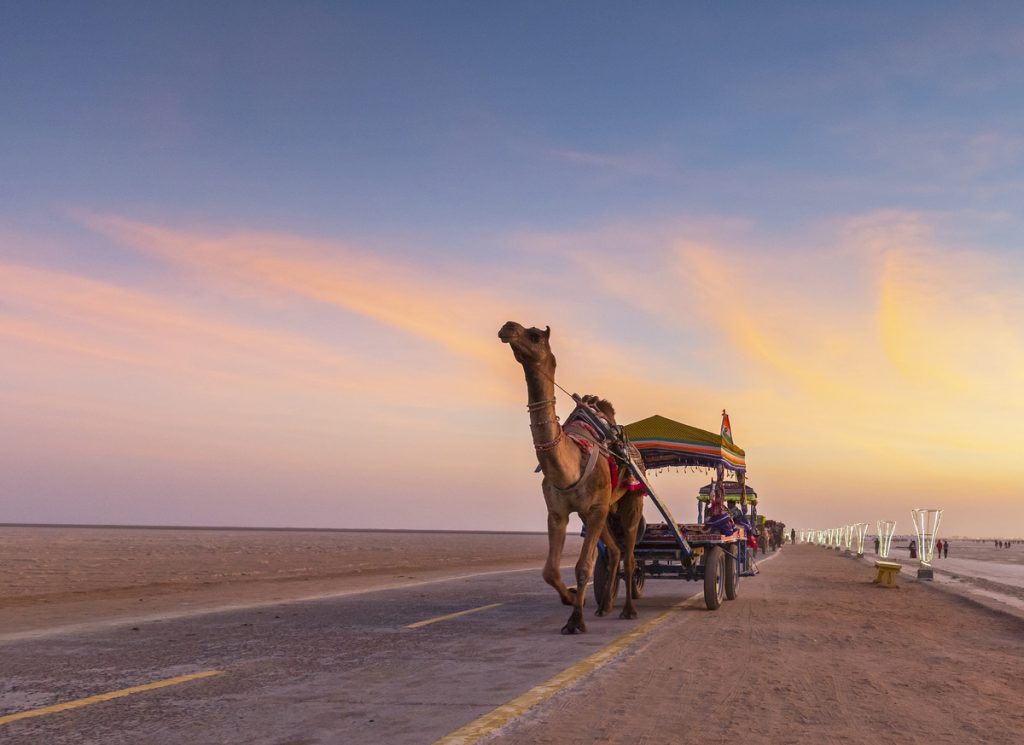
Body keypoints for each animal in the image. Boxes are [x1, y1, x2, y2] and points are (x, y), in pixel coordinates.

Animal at [499, 319, 643, 634]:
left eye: (535, 335)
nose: (507, 327)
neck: (571, 466)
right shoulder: (558, 512)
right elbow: (550, 571)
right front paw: (572, 599)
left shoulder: (595, 507)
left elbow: (583, 566)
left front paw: (575, 621)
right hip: (602, 511)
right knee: (614, 552)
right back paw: (605, 605)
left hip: (631, 501)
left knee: (628, 553)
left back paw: (628, 610)